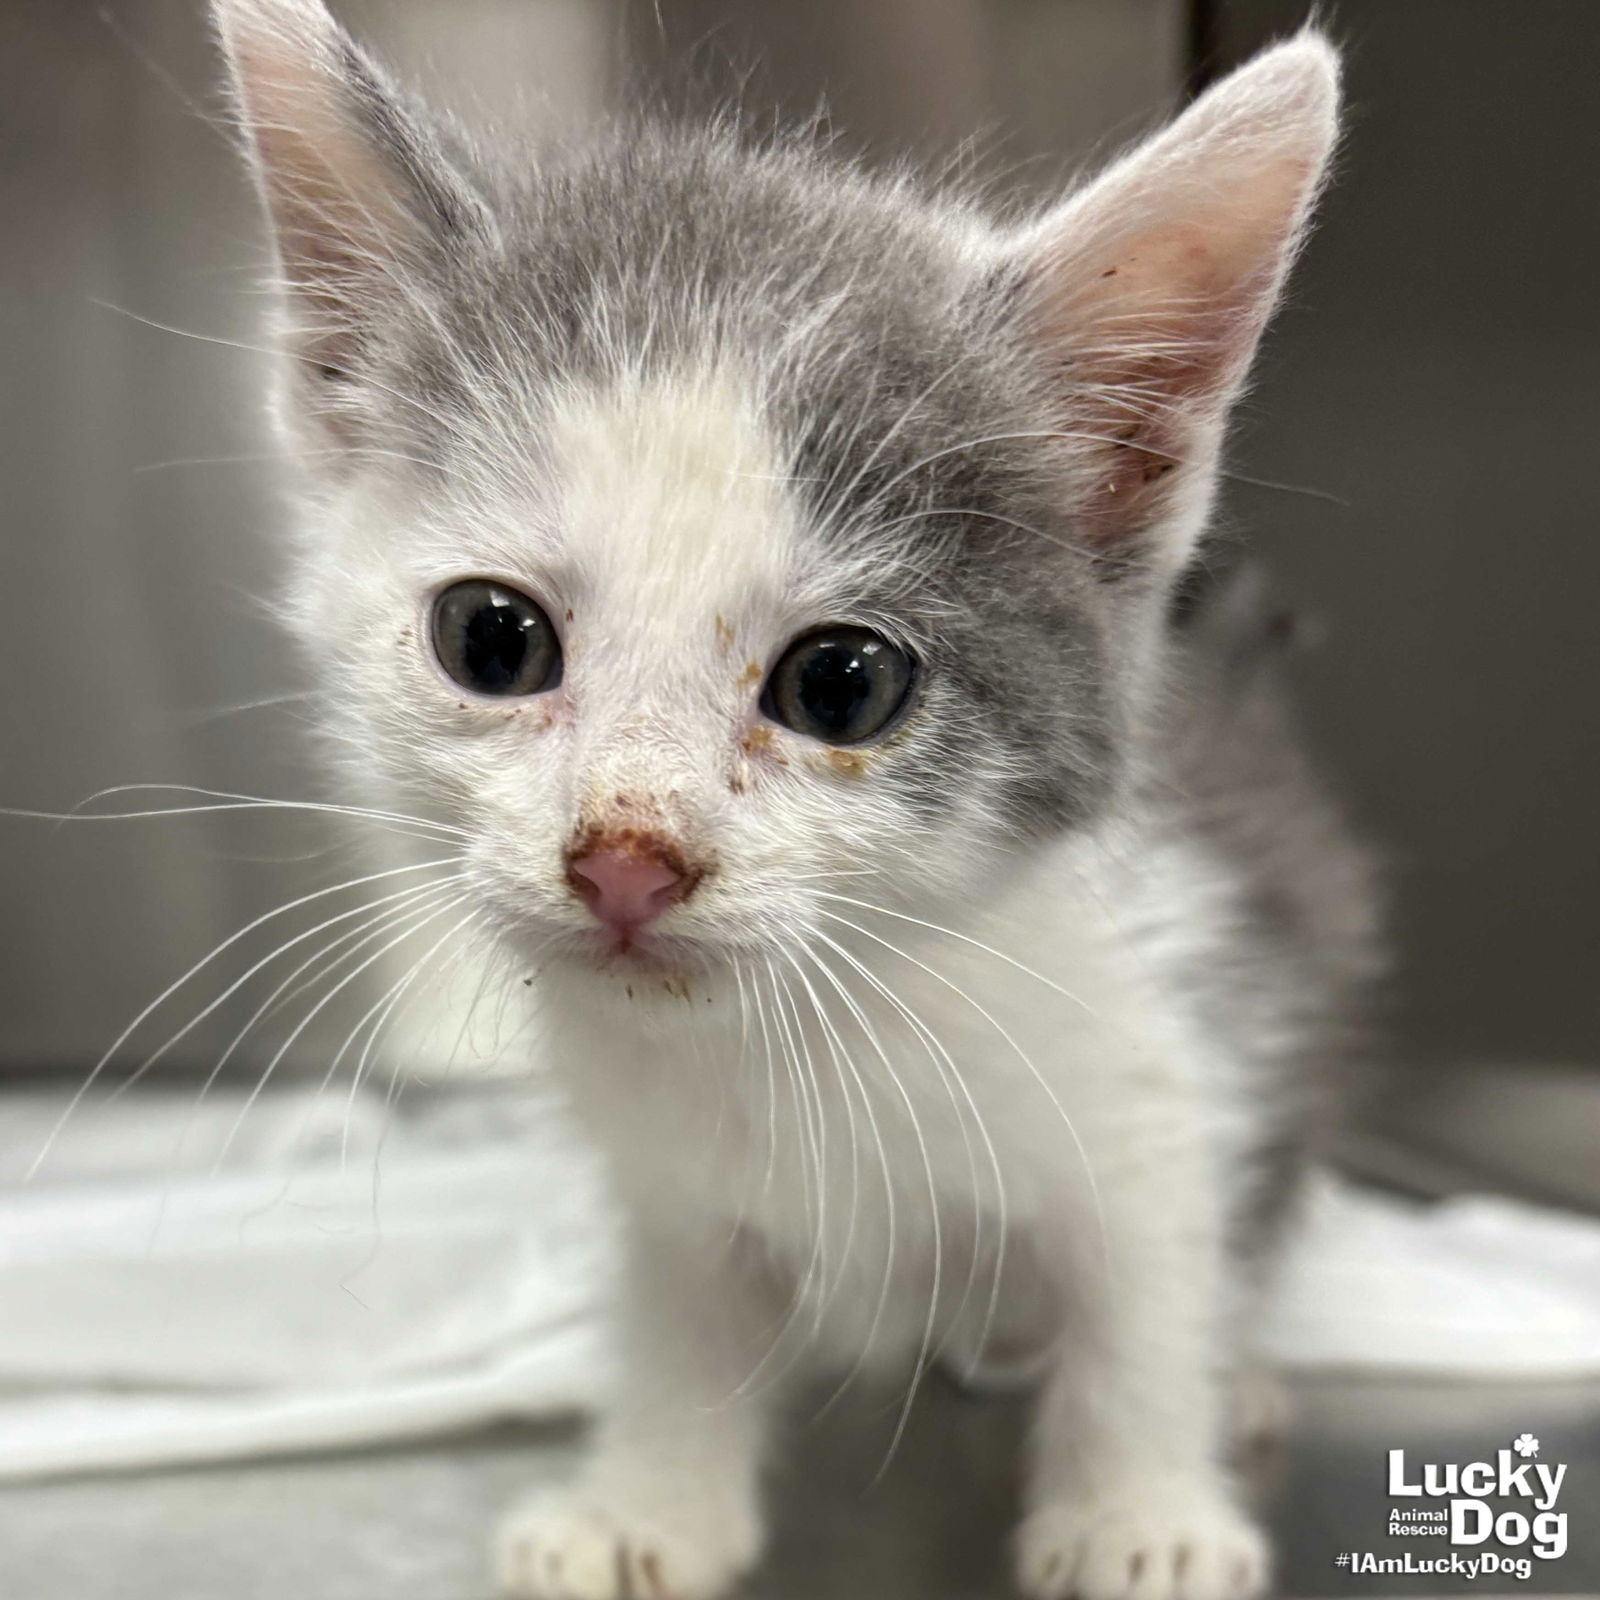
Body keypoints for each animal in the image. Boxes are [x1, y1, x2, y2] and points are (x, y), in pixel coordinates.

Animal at [212, 3, 1376, 1600]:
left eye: (841, 685)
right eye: (489, 640)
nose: (625, 859)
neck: (805, 1031)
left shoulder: (1170, 1053)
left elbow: (1146, 1299)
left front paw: (1140, 1511)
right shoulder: (672, 1187)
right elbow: (682, 1313)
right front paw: (651, 1500)